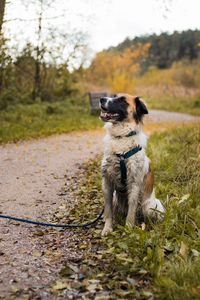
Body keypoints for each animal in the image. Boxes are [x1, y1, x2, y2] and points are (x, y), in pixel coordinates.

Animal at [100, 92, 164, 236]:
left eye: (122, 100)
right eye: (113, 96)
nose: (101, 99)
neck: (121, 137)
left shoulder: (134, 184)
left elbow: (131, 212)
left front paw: (128, 229)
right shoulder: (107, 183)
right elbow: (108, 211)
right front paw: (107, 228)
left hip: (149, 207)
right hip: (115, 198)